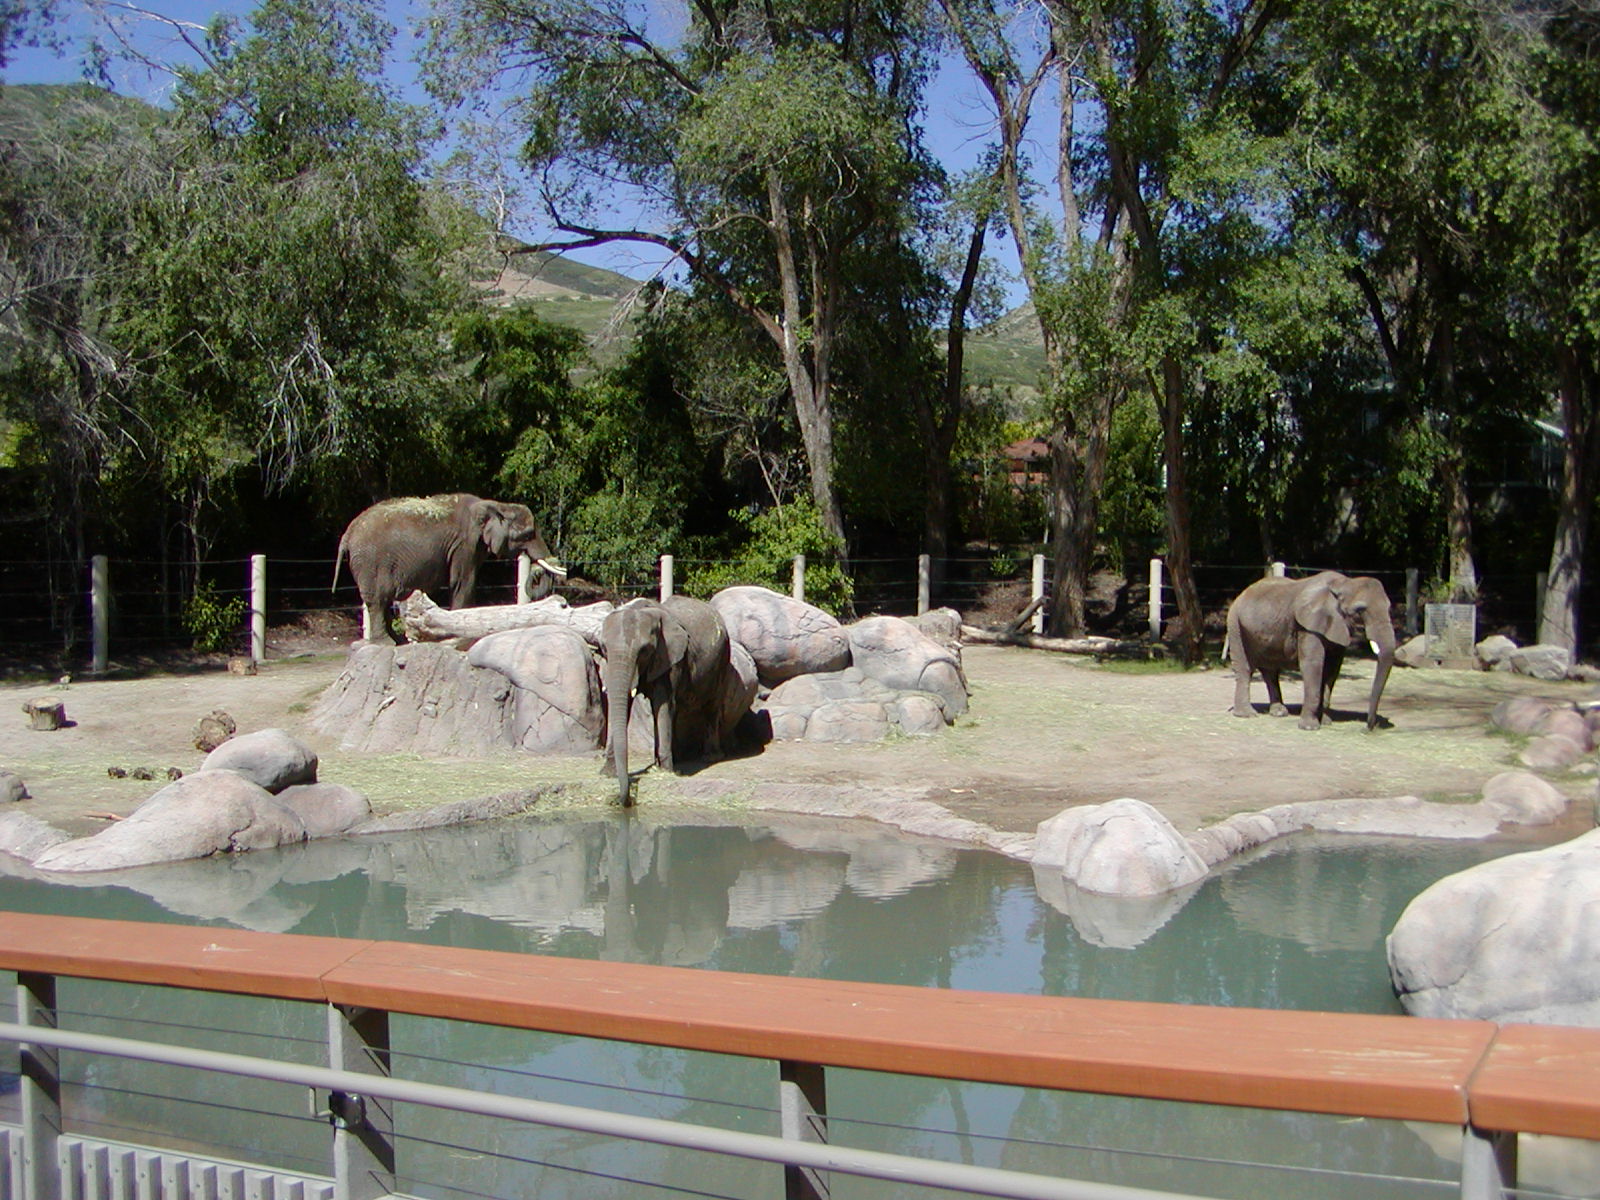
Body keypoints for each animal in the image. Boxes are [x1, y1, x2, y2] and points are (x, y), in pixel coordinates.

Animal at [333, 493, 566, 643]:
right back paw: (385, 643)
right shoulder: (465, 544)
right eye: (527, 534)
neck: (495, 504)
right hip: (371, 562)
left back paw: (397, 640)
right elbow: (463, 582)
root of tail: (347, 534)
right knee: (378, 599)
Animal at [599, 596, 738, 806]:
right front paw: (607, 773)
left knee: (711, 706)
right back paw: (677, 758)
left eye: (644, 650)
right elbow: (628, 703)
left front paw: (665, 771)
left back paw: (710, 757)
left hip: (723, 658)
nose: (623, 800)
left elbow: (662, 704)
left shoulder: (670, 657)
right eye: (604, 649)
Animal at [1226, 571, 1396, 731]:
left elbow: (1332, 668)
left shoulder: (1337, 626)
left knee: (1271, 671)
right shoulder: (1308, 626)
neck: (1343, 583)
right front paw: (1309, 727)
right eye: (1360, 610)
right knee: (1245, 668)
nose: (1367, 728)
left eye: (1389, 608)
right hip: (1235, 623)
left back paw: (1279, 712)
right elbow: (1313, 664)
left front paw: (1326, 722)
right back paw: (1247, 714)